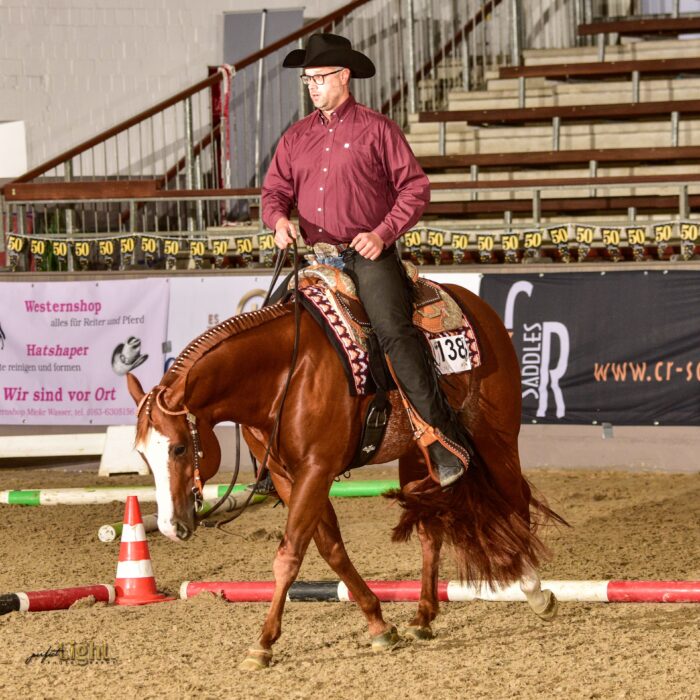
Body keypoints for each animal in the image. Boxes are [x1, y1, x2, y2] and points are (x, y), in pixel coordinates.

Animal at [126, 281, 563, 671]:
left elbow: (289, 555)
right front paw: (379, 625)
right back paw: (423, 616)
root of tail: (479, 307)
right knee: (429, 529)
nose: (170, 527)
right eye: (142, 454)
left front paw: (263, 644)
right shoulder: (289, 478)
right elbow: (330, 548)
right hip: (419, 458)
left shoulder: (315, 471)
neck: (283, 375)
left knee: (515, 501)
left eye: (179, 447)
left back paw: (534, 590)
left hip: (496, 435)